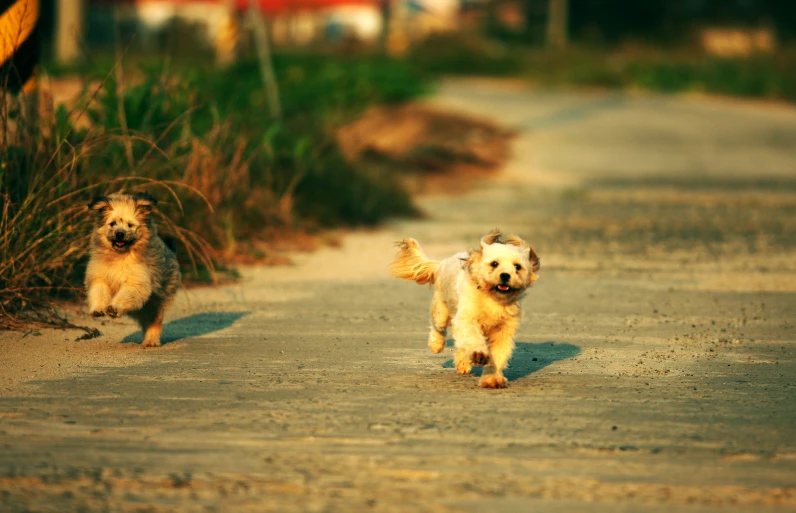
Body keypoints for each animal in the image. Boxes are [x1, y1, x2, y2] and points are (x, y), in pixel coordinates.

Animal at [388, 229, 536, 388]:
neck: (493, 298)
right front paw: (478, 354)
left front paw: (492, 379)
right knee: (438, 327)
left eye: (517, 267)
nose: (505, 275)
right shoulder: (467, 319)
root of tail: (442, 263)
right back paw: (436, 344)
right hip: (441, 311)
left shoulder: (504, 331)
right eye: (494, 264)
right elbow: (472, 338)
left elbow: (497, 355)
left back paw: (463, 363)